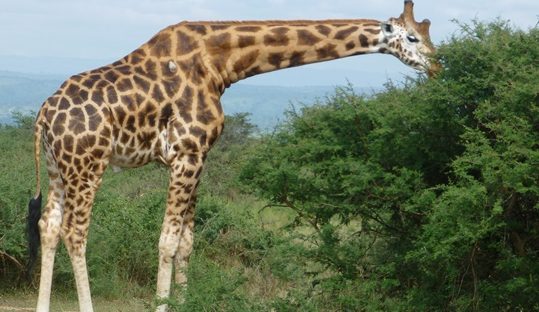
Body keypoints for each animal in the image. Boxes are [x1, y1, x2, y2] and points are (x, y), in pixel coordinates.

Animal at [26, 1, 438, 310]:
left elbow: (187, 242)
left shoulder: (197, 157)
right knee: (75, 232)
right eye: (413, 36)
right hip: (88, 166)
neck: (221, 64)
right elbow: (168, 241)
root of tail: (43, 114)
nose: (437, 64)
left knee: (48, 226)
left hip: (58, 168)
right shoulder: (186, 154)